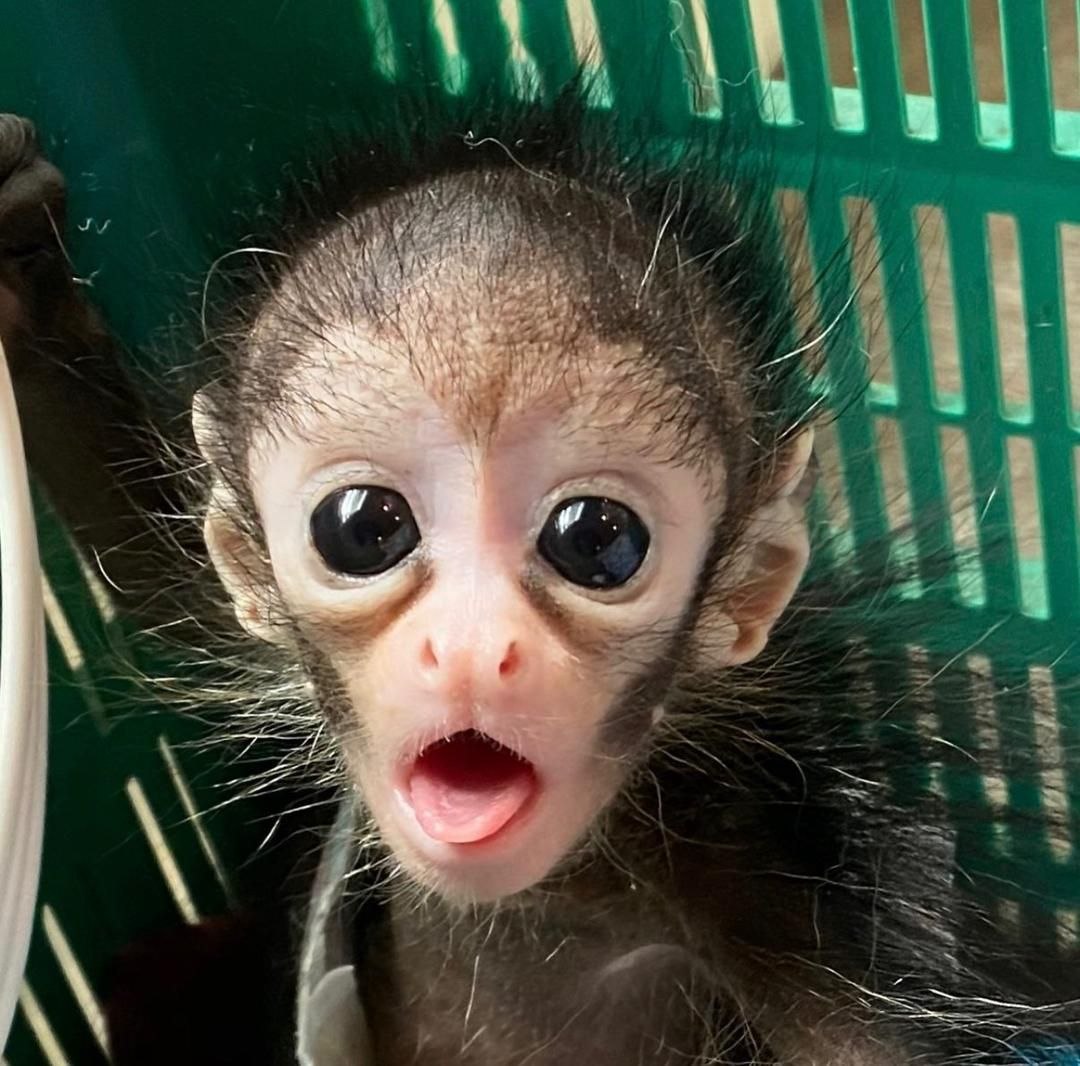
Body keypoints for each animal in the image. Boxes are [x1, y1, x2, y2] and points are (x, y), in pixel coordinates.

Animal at [3, 59, 1080, 1066]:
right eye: (363, 527)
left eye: (596, 539)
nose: (471, 649)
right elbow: (149, 559)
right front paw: (24, 261)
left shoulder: (761, 878)